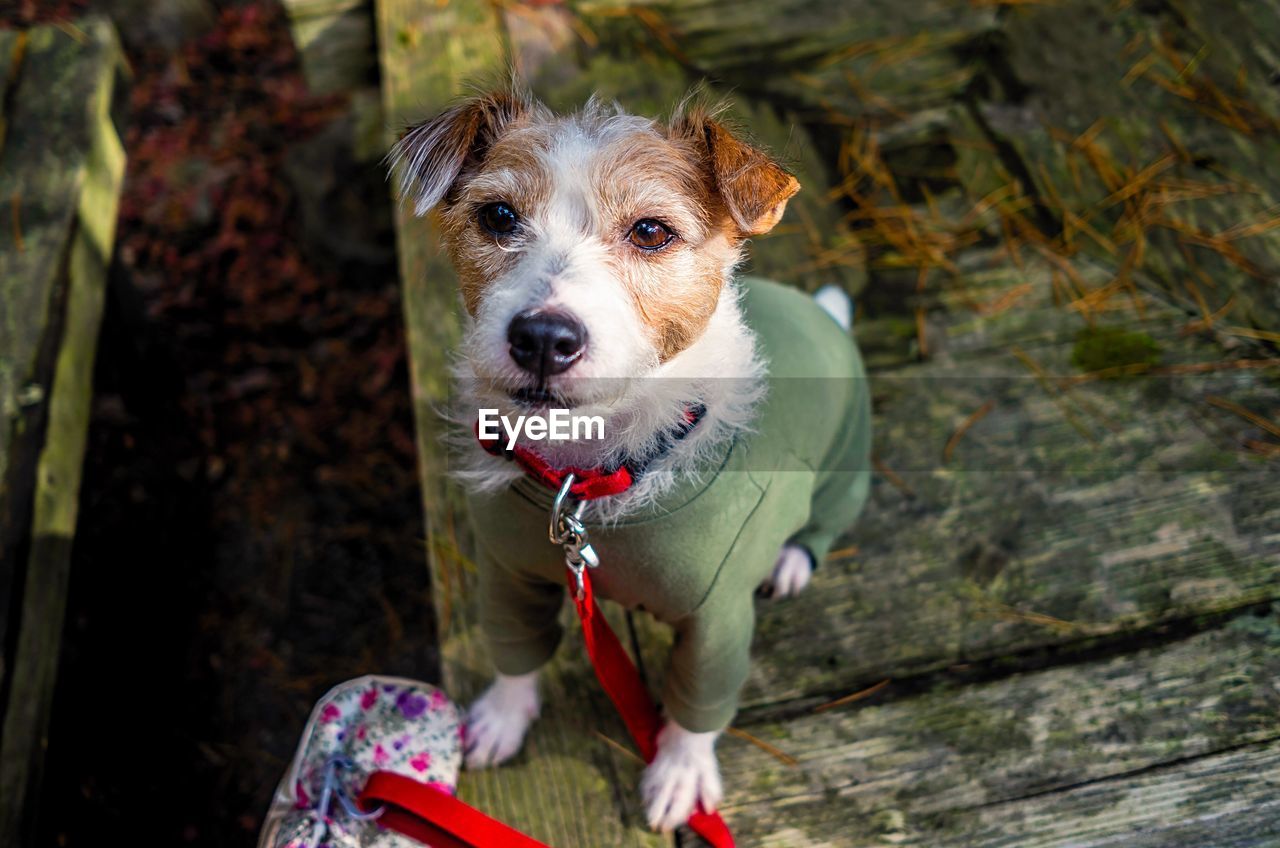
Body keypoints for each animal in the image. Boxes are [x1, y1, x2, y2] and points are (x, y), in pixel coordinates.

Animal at [389, 89, 870, 835]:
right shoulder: (507, 576)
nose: (542, 338)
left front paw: (679, 773)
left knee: (820, 523)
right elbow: (515, 652)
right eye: (497, 216)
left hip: (847, 471)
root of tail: (826, 318)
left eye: (650, 231)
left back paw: (792, 560)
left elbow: (697, 704)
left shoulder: (717, 622)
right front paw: (502, 717)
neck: (588, 478)